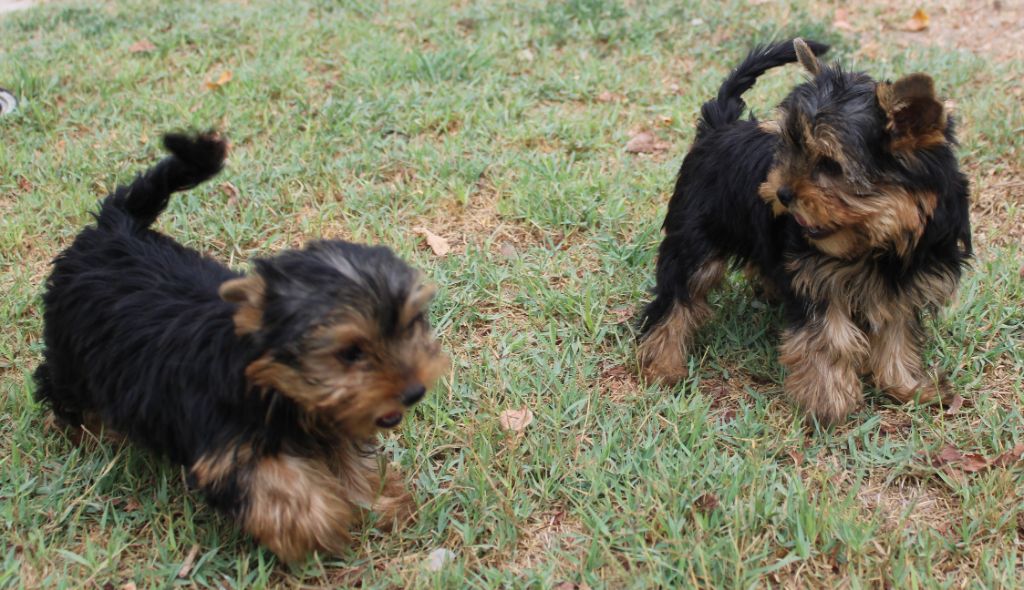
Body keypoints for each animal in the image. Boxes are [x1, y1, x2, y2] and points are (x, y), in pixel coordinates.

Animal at [37, 133, 444, 561]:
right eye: (350, 353)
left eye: (409, 325)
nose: (414, 391)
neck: (270, 383)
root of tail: (113, 229)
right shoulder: (225, 443)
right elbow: (274, 481)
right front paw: (317, 524)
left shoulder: (326, 419)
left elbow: (349, 459)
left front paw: (379, 501)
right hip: (73, 351)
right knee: (58, 384)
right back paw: (85, 429)